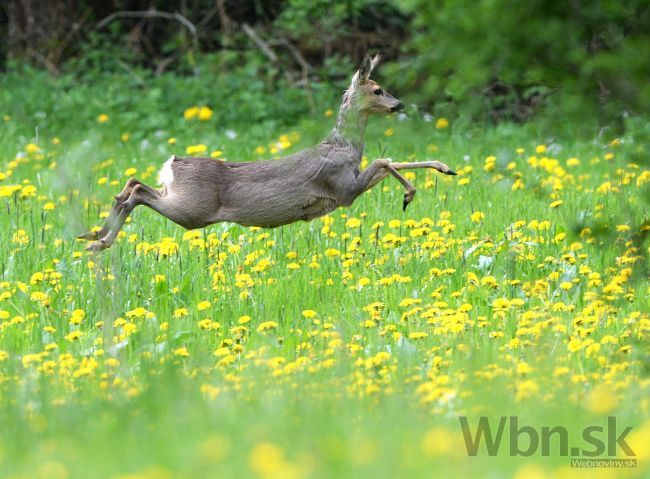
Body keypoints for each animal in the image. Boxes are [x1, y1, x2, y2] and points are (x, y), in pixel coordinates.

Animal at [78, 54, 456, 251]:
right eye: (378, 89)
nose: (399, 104)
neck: (344, 146)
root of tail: (172, 164)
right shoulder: (343, 189)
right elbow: (384, 160)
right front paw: (411, 193)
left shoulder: (346, 189)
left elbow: (388, 160)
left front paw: (445, 168)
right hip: (193, 210)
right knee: (138, 192)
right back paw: (99, 241)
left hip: (180, 198)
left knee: (131, 184)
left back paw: (93, 235)